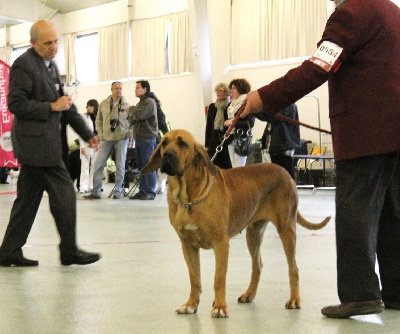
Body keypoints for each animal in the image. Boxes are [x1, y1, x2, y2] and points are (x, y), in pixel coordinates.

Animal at [142, 129, 330, 318]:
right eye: (164, 143)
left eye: (182, 143)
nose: (166, 155)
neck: (188, 197)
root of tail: (287, 174)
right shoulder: (188, 246)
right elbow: (194, 278)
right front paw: (191, 305)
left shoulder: (221, 243)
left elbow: (219, 278)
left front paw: (219, 307)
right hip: (253, 233)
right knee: (257, 265)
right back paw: (249, 294)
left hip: (286, 229)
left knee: (293, 268)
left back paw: (294, 299)